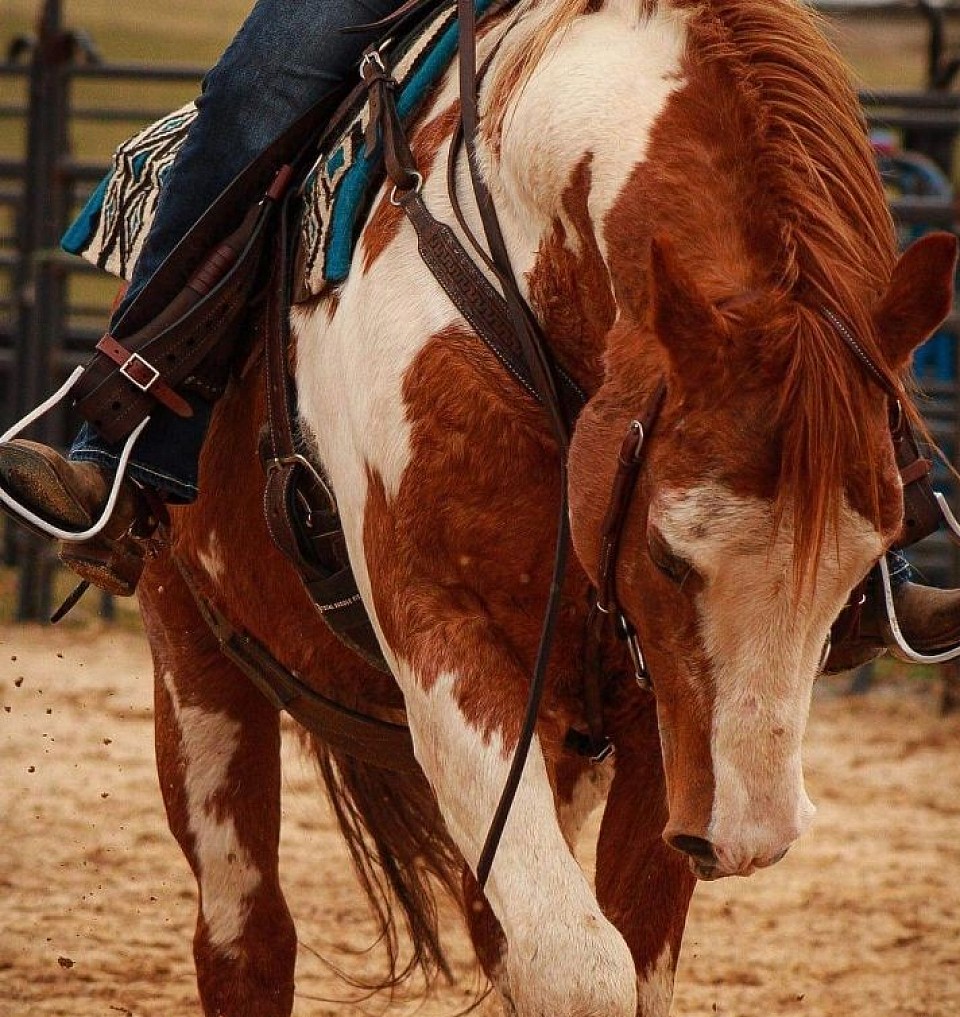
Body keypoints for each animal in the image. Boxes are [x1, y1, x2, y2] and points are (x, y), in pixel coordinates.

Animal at [136, 0, 958, 1013]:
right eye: (668, 553)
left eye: (863, 561)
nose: (751, 834)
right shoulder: (445, 643)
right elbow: (576, 962)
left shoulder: (655, 721)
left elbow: (626, 953)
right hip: (193, 645)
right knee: (246, 936)